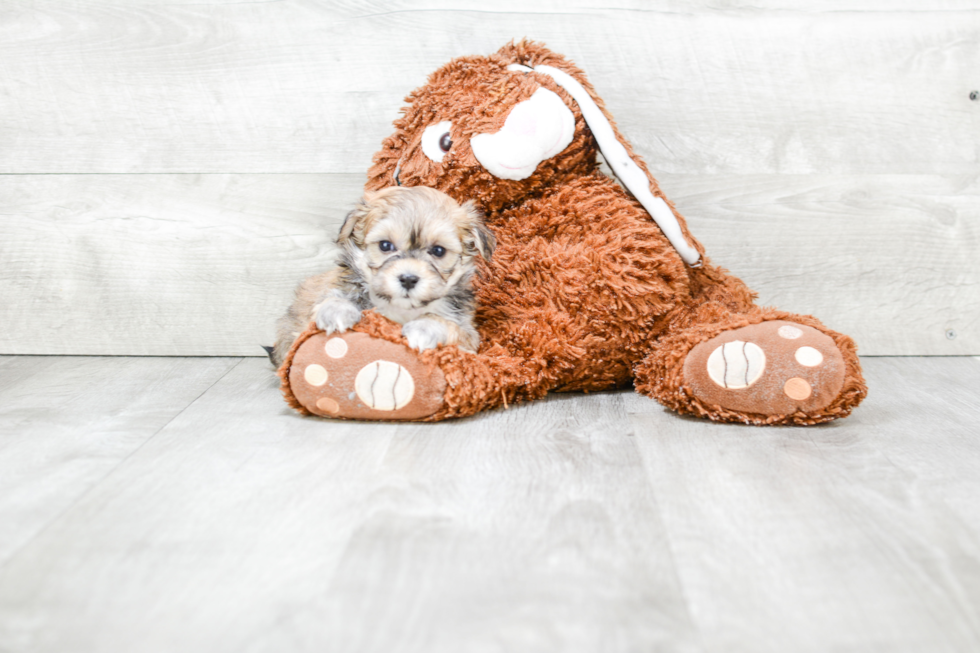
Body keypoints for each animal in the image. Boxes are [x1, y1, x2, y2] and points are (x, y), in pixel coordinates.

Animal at [270, 185, 494, 366]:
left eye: (438, 251)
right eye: (385, 245)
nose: (408, 279)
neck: (400, 309)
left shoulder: (467, 333)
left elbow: (444, 323)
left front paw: (424, 327)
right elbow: (334, 298)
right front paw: (336, 310)